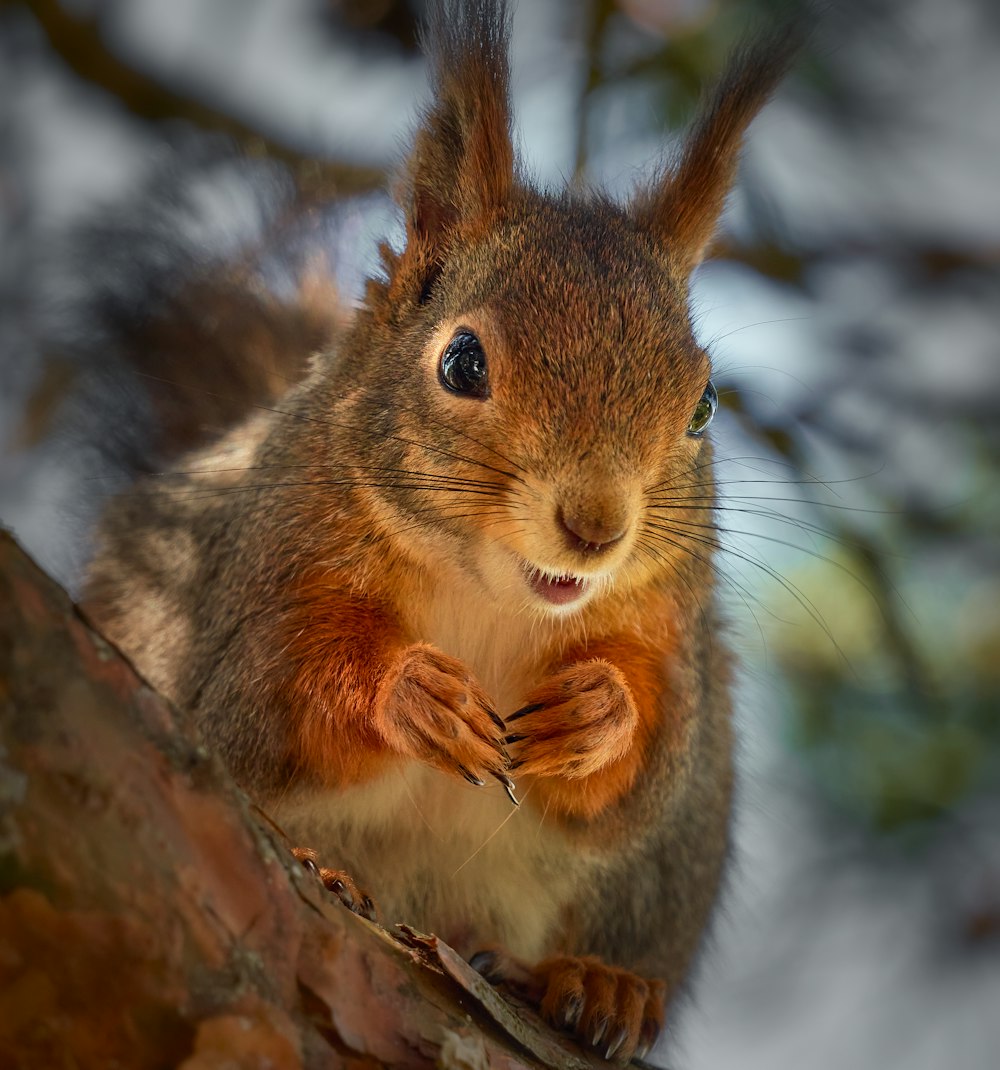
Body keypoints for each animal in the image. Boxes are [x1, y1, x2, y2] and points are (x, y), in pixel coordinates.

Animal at [82, 0, 800, 1057]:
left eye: (705, 406)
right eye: (462, 363)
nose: (596, 527)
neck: (488, 596)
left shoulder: (669, 629)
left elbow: (645, 771)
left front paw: (598, 712)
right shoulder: (256, 568)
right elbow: (259, 699)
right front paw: (412, 693)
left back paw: (600, 984)